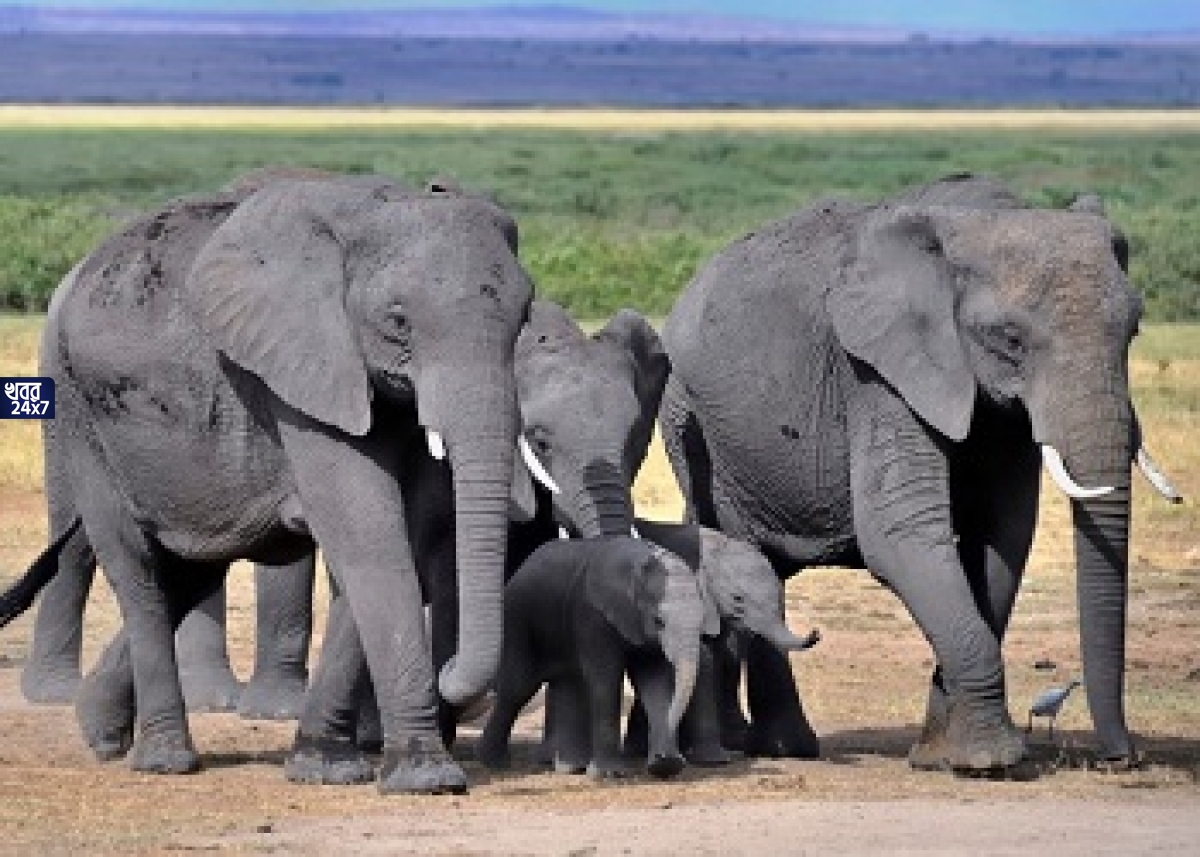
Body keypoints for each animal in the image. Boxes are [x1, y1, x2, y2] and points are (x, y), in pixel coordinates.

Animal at [0, 171, 549, 795]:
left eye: (523, 321)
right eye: (398, 322)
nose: (456, 680)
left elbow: (396, 539)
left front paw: (325, 767)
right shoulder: (301, 378)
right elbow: (370, 537)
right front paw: (426, 779)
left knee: (191, 569)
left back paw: (100, 731)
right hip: (80, 414)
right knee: (137, 570)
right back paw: (164, 759)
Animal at [477, 536, 710, 779]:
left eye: (702, 619)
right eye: (658, 621)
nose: (669, 757)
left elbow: (656, 682)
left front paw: (666, 766)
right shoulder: (592, 615)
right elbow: (605, 679)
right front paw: (609, 774)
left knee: (570, 682)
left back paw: (570, 768)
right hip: (516, 618)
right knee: (519, 687)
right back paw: (494, 762)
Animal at [658, 173, 1181, 772]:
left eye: (1134, 330)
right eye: (1010, 339)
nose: (1123, 757)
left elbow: (1000, 542)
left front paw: (942, 756)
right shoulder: (877, 373)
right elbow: (901, 535)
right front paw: (989, 762)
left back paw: (778, 746)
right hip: (689, 422)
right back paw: (768, 749)